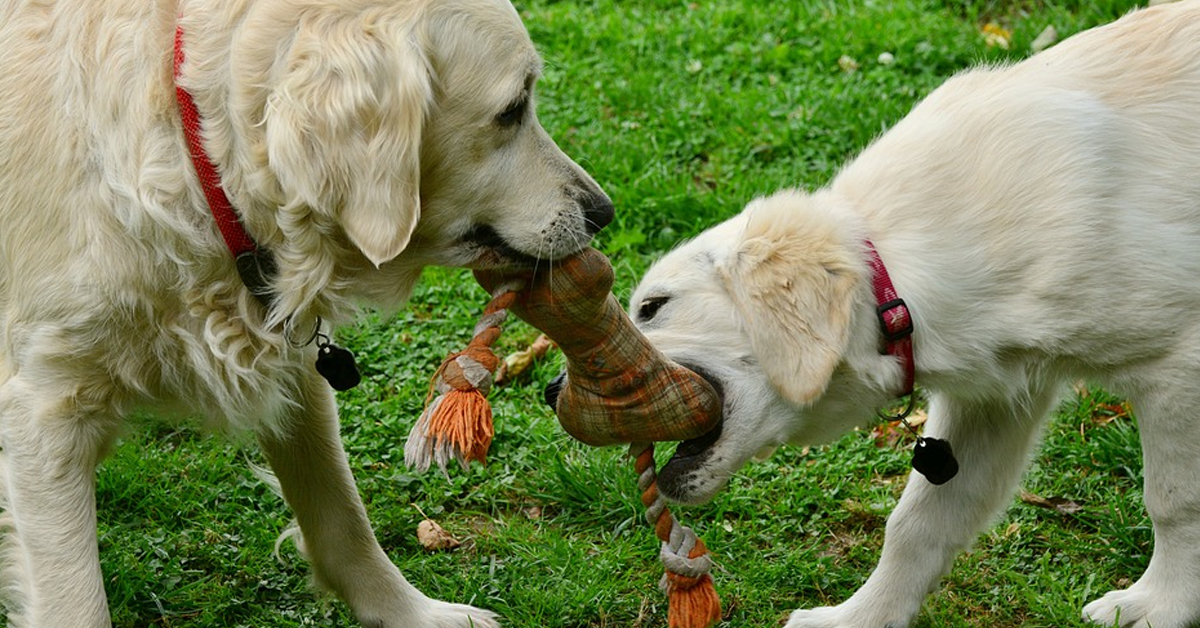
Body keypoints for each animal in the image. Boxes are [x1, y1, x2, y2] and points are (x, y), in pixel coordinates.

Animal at [0, 0, 614, 624]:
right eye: (512, 110)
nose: (603, 211)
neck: (198, 157)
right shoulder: (45, 412)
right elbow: (76, 601)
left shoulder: (295, 370)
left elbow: (341, 516)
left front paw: (412, 612)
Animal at [628, 2, 1200, 624]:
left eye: (653, 307)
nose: (572, 389)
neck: (896, 277)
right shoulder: (995, 401)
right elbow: (918, 524)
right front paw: (861, 617)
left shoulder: (1179, 365)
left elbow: (1175, 501)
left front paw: (1161, 606)